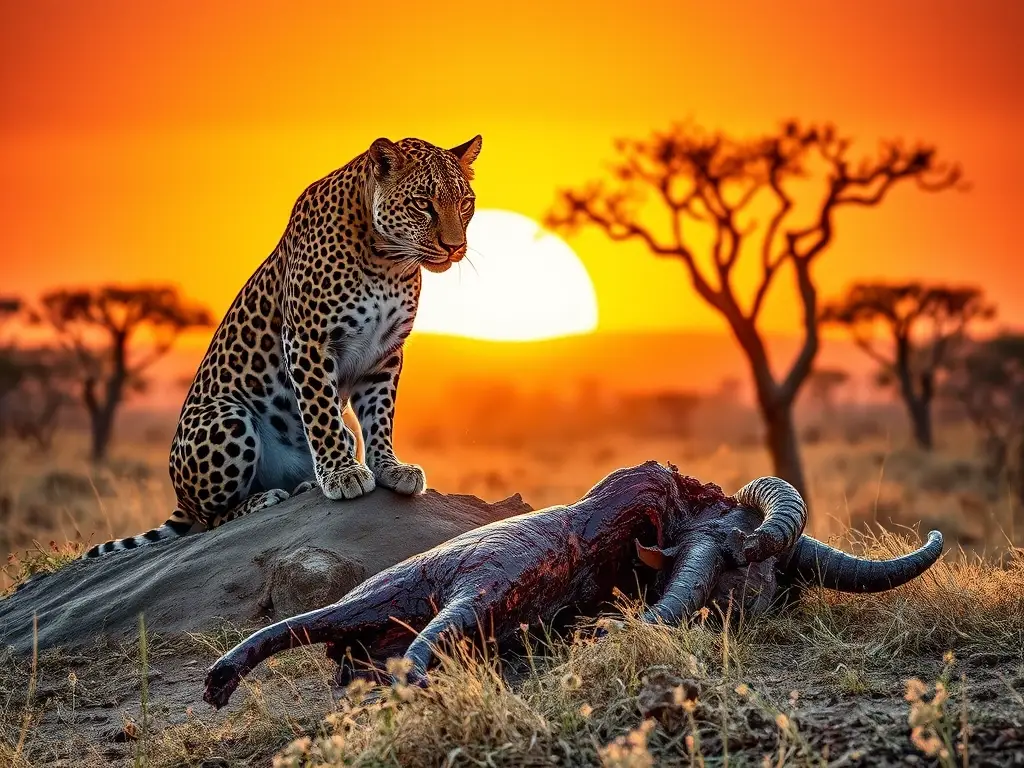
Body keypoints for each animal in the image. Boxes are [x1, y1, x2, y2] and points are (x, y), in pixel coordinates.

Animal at [84, 135, 482, 558]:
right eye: (423, 203)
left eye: (465, 203)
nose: (455, 247)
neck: (388, 262)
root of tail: (179, 496)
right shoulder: (309, 337)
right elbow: (321, 411)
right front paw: (343, 474)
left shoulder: (385, 352)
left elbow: (380, 415)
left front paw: (389, 467)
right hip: (226, 416)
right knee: (210, 521)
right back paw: (266, 498)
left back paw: (304, 486)